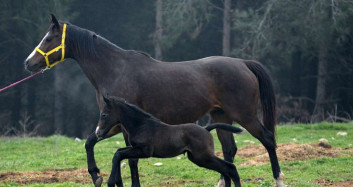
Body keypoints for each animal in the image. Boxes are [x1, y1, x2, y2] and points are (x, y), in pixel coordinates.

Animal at [95, 96, 243, 187]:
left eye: (104, 114)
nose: (98, 133)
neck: (141, 125)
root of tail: (206, 129)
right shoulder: (135, 148)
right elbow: (118, 153)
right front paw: (117, 182)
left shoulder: (145, 151)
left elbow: (118, 154)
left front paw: (110, 182)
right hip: (197, 158)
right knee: (225, 170)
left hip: (203, 156)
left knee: (230, 168)